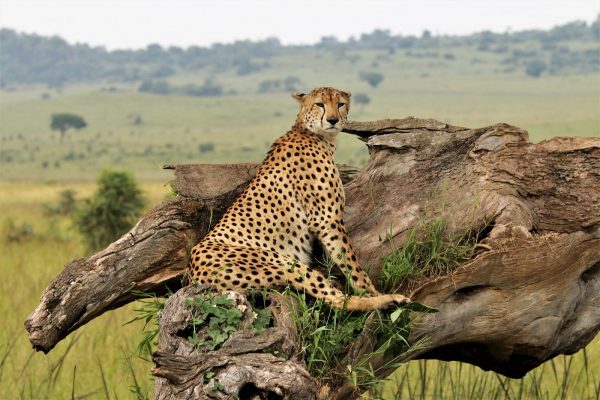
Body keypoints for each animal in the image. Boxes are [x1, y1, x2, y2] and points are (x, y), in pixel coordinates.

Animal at [189, 86, 412, 312]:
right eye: (320, 104)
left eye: (340, 104)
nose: (332, 120)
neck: (312, 133)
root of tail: (193, 274)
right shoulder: (327, 219)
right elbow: (352, 264)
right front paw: (372, 292)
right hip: (281, 262)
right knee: (337, 300)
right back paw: (390, 299)